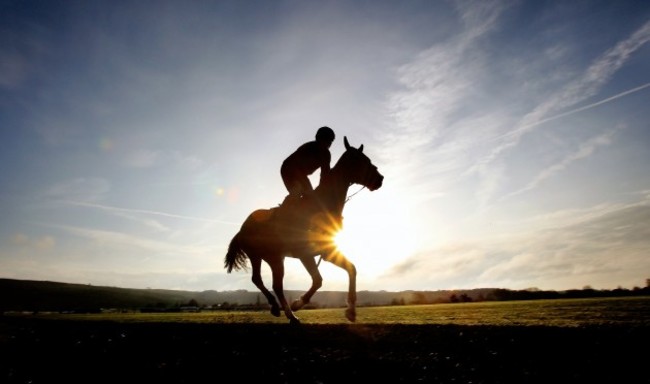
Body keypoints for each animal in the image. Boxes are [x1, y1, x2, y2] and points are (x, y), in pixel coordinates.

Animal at [224, 137, 382, 324]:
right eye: (363, 160)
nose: (380, 179)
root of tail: (242, 229)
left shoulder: (327, 251)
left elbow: (351, 269)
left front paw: (351, 311)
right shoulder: (305, 254)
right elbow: (318, 280)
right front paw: (298, 303)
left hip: (266, 257)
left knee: (260, 280)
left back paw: (276, 307)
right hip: (269, 257)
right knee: (275, 285)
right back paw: (290, 315)